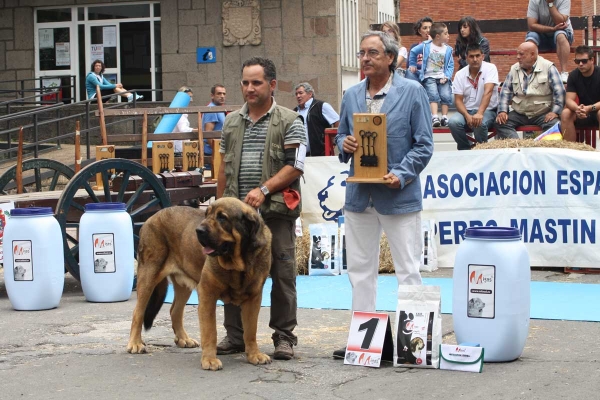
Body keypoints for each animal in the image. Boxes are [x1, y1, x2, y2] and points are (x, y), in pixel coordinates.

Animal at [129, 195, 274, 370]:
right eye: (207, 214)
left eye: (222, 217)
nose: (199, 230)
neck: (239, 264)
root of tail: (152, 216)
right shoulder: (207, 294)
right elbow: (210, 331)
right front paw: (209, 360)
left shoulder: (254, 298)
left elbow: (251, 330)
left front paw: (254, 355)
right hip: (148, 275)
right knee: (138, 312)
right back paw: (135, 343)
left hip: (183, 285)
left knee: (175, 310)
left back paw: (183, 339)